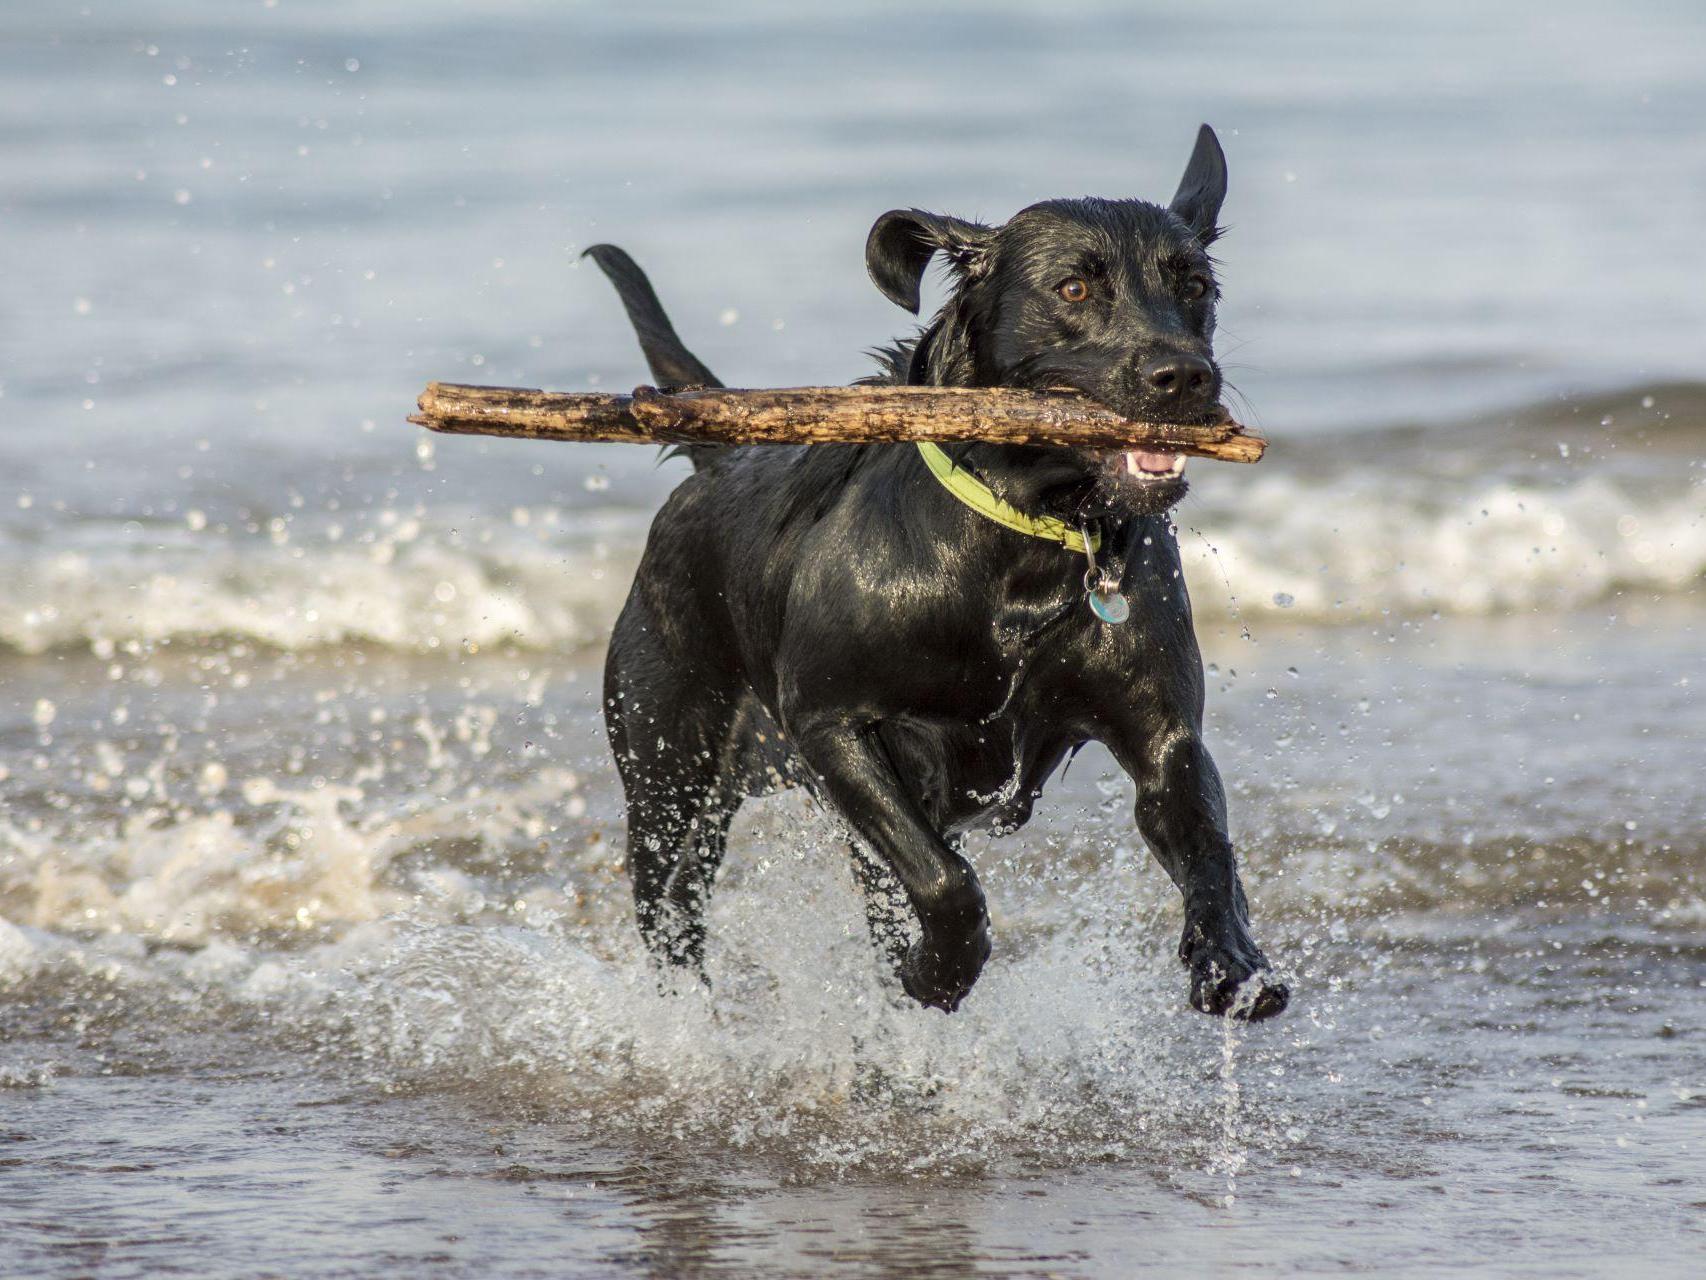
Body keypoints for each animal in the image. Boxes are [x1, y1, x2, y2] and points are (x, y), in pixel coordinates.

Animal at [593, 122, 1282, 1024]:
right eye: (1072, 287)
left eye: (1194, 284)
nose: (1184, 376)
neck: (1023, 554)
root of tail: (721, 459)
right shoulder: (832, 724)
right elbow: (945, 881)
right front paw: (941, 973)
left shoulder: (1163, 737)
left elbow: (1210, 848)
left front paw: (1233, 962)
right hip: (669, 768)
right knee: (669, 901)